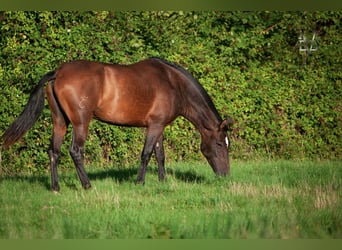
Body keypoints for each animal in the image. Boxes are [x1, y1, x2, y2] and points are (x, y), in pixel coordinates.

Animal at [1, 57, 232, 191]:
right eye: (220, 144)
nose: (225, 176)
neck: (172, 83)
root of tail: (57, 73)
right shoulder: (154, 126)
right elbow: (147, 154)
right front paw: (140, 182)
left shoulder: (159, 126)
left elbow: (160, 154)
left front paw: (162, 180)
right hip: (80, 123)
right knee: (75, 151)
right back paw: (87, 185)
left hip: (60, 122)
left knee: (53, 152)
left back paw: (56, 187)